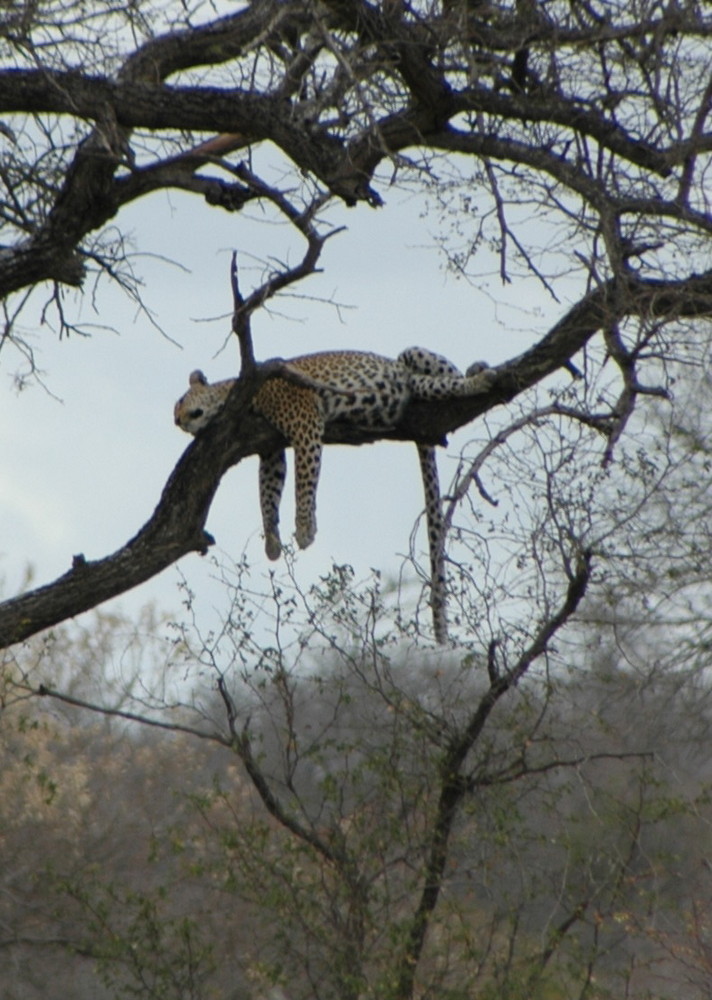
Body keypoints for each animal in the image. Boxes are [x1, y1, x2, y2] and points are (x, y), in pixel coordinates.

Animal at [175, 346, 492, 640]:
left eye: (180, 402)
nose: (177, 422)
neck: (238, 395)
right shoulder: (270, 450)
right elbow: (268, 493)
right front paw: (272, 542)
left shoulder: (304, 422)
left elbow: (304, 478)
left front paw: (305, 528)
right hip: (419, 385)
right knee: (440, 386)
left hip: (411, 356)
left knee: (451, 378)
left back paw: (480, 375)